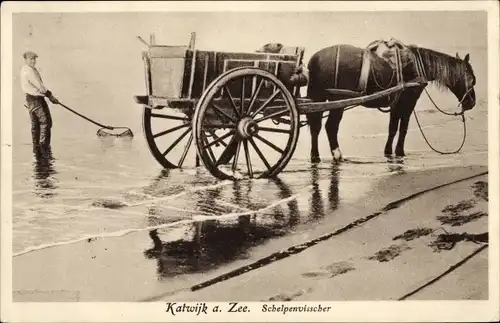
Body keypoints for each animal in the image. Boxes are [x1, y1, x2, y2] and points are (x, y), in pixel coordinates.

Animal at [304, 43, 476, 163]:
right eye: (472, 79)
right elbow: (403, 128)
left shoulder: (396, 105)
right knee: (330, 127)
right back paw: (337, 155)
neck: (416, 66)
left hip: (319, 99)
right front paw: (400, 152)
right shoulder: (407, 104)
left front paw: (388, 152)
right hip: (337, 100)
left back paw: (315, 156)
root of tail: (314, 60)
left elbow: (392, 128)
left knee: (316, 127)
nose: (472, 102)